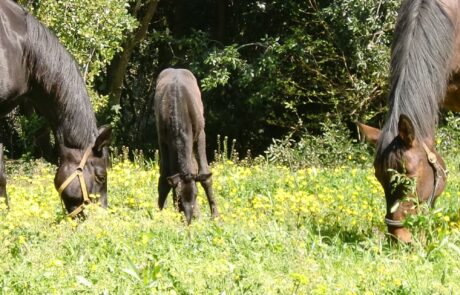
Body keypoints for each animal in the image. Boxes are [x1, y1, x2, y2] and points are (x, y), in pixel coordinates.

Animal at [155, 69, 218, 224]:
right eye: (178, 198)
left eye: (196, 195)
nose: (188, 219)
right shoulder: (163, 139)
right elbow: (164, 177)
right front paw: (159, 212)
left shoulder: (201, 133)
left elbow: (205, 175)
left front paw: (215, 216)